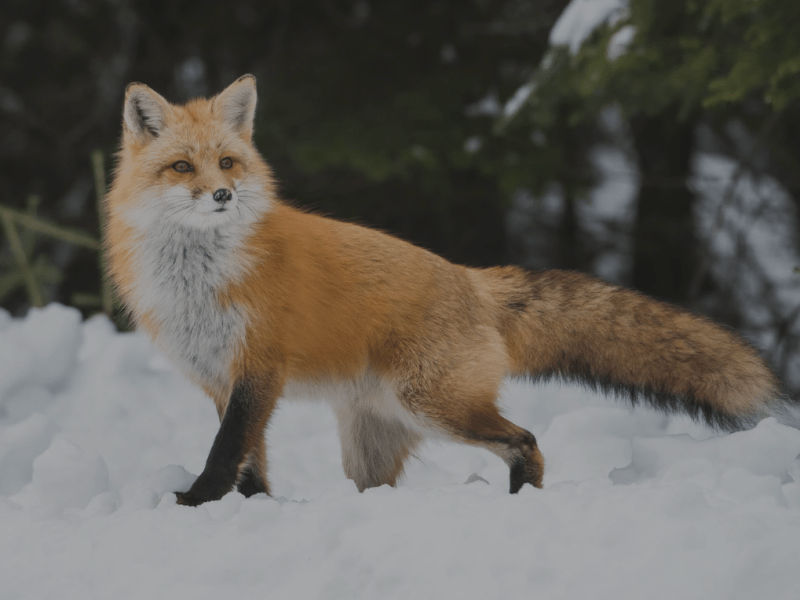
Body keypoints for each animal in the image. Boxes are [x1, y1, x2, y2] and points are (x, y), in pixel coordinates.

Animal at [105, 75, 798, 506]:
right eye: (182, 167)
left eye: (227, 163)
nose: (223, 194)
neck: (199, 279)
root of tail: (472, 278)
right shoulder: (220, 379)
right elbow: (250, 462)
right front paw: (251, 509)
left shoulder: (258, 370)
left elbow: (226, 453)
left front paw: (196, 502)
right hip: (373, 443)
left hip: (435, 405)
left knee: (527, 442)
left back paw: (521, 502)